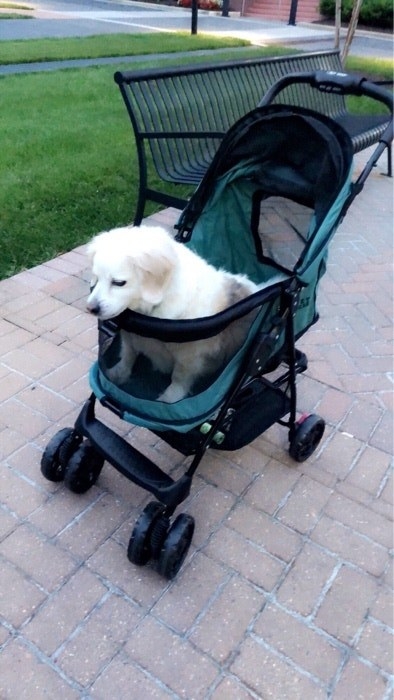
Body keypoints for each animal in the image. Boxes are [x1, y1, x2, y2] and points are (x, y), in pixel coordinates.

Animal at [86, 224, 258, 400]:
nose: (91, 309)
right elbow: (127, 355)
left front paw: (169, 400)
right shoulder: (129, 338)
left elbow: (179, 378)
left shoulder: (190, 357)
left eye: (119, 283)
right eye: (97, 278)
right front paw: (119, 373)